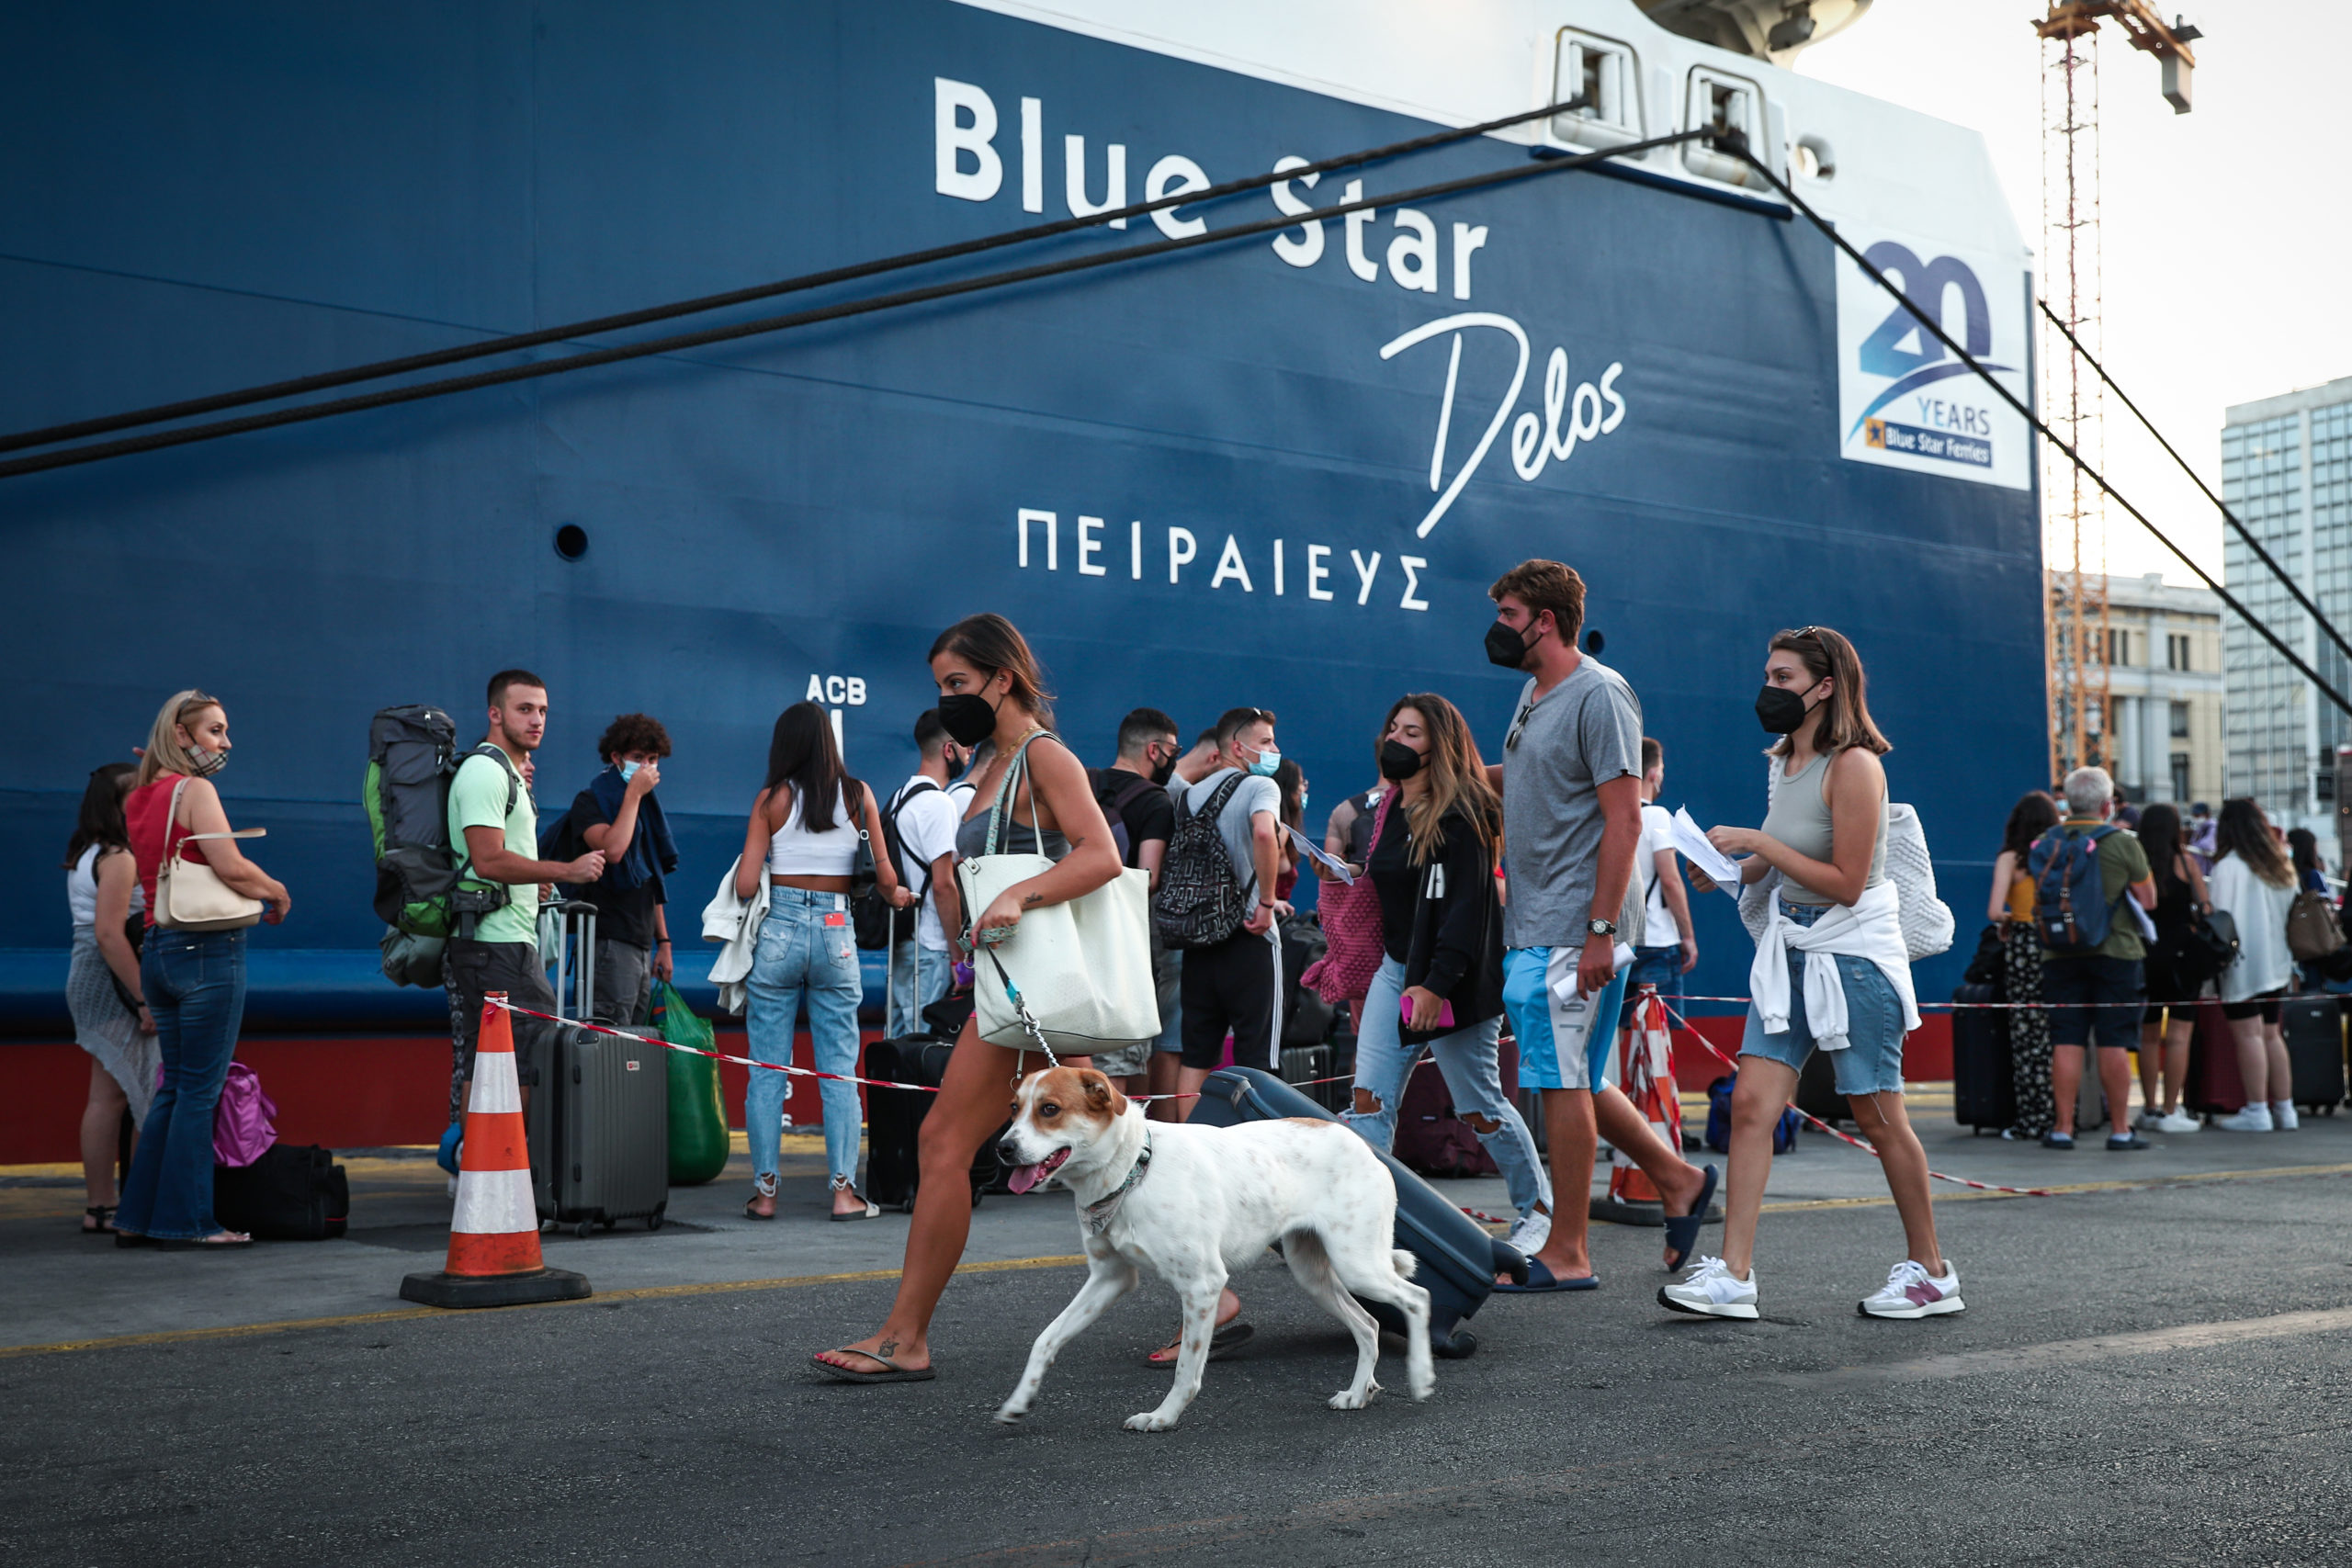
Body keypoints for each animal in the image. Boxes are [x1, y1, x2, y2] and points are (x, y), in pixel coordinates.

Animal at [992, 1066, 1430, 1438]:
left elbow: (1186, 1369)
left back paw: (1422, 1376)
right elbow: (1046, 1339)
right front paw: (1019, 1401)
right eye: (1013, 1108)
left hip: (1358, 1265)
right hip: (1313, 1274)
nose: (1003, 1149)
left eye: (1050, 1109)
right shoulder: (1109, 1279)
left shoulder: (1202, 1285)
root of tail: (1361, 1146)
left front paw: (1163, 1416)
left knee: (1417, 1298)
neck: (1135, 1169)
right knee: (1368, 1325)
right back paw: (1358, 1393)